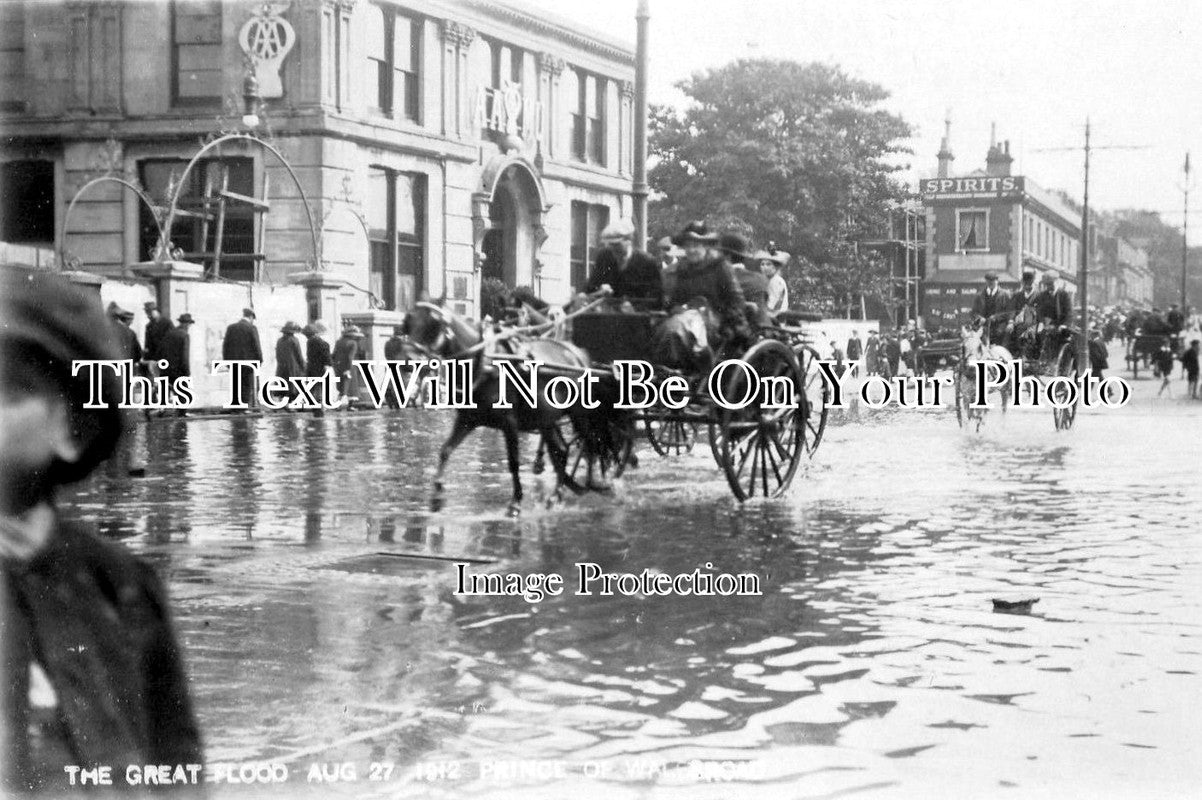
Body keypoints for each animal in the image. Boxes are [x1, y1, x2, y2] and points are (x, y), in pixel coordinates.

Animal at [399, 302, 615, 514]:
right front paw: (436, 496)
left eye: (433, 325)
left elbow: (513, 462)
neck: (485, 362)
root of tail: (578, 355)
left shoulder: (509, 423)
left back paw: (596, 484)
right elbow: (445, 450)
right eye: (408, 323)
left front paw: (515, 502)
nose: (409, 361)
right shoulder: (467, 420)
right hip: (545, 418)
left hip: (579, 414)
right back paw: (557, 495)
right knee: (562, 451)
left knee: (591, 444)